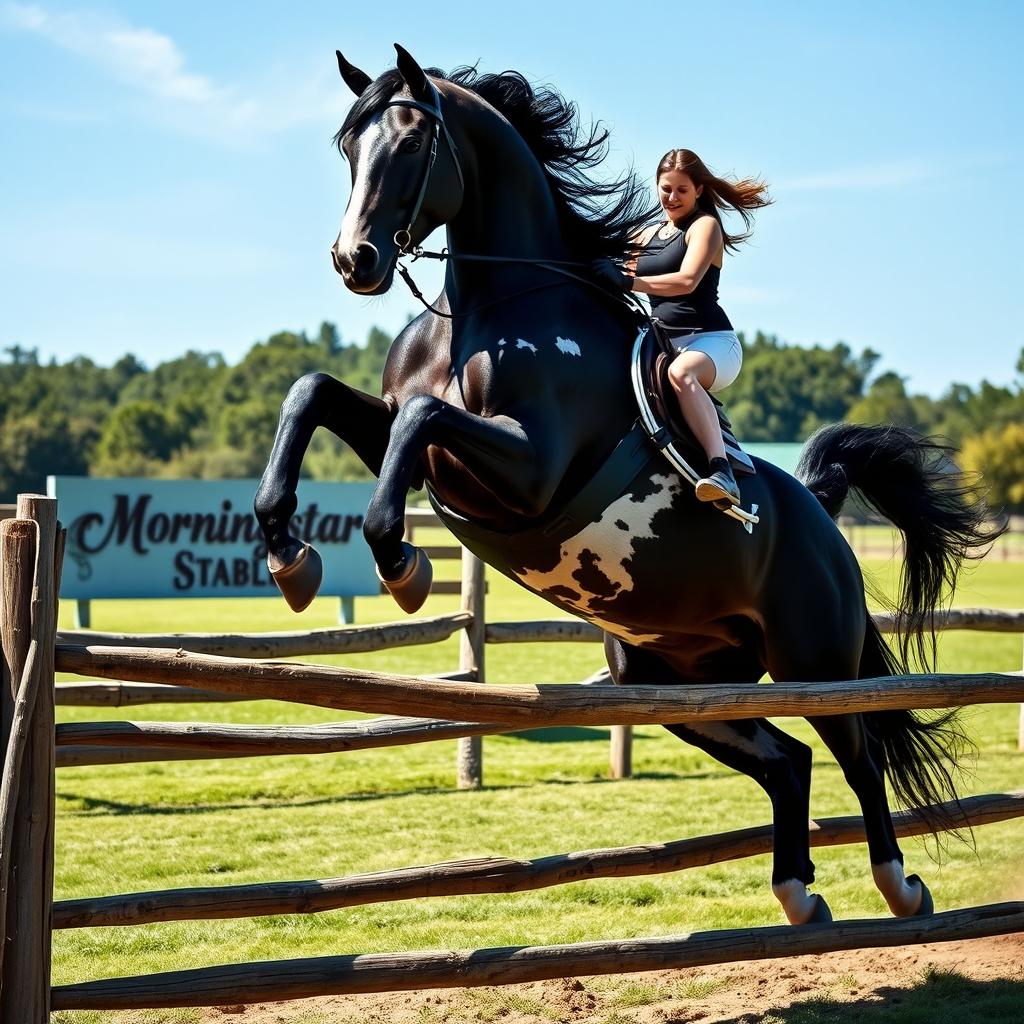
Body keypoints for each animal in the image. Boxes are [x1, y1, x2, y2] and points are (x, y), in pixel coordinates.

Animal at [253, 48, 991, 929]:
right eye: (348, 146)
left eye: (408, 143)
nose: (353, 261)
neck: (491, 304)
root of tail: (821, 508)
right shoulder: (412, 439)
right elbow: (315, 393)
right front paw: (288, 555)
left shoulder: (527, 470)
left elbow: (422, 420)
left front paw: (401, 564)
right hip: (674, 682)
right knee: (787, 761)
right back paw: (798, 894)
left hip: (815, 659)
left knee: (860, 753)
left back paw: (898, 884)